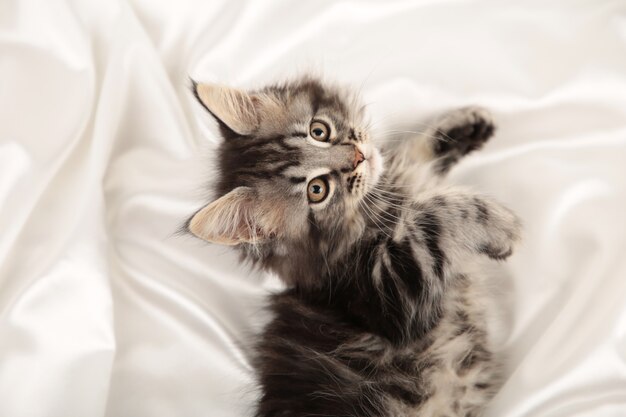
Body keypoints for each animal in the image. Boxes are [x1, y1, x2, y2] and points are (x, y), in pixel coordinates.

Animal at [186, 75, 520, 416]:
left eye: (318, 131)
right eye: (317, 190)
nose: (358, 156)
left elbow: (410, 155)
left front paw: (469, 125)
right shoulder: (395, 298)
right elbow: (435, 216)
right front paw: (502, 227)